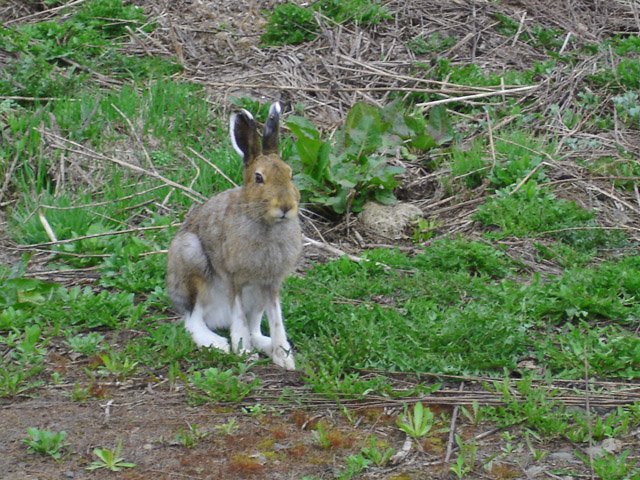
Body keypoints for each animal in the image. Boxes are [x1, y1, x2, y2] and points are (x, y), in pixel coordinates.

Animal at [166, 102, 301, 370]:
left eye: (290, 174)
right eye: (259, 178)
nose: (285, 206)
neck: (265, 223)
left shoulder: (270, 283)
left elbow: (276, 319)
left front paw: (285, 358)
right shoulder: (233, 279)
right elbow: (238, 317)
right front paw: (244, 353)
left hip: (255, 298)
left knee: (255, 327)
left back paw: (267, 346)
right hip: (192, 261)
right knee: (193, 319)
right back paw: (218, 343)